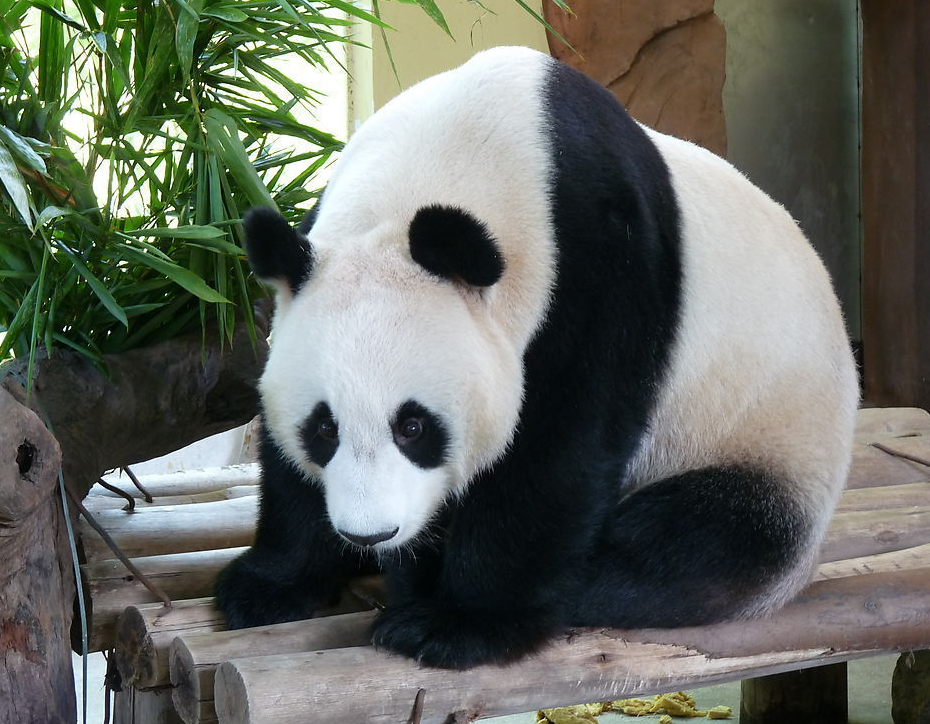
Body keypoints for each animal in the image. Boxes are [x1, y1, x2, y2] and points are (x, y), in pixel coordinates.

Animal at [215, 46, 859, 670]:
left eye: (414, 427)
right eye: (323, 428)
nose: (371, 534)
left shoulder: (601, 267)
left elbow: (557, 454)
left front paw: (456, 625)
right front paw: (267, 585)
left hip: (765, 441)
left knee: (699, 544)